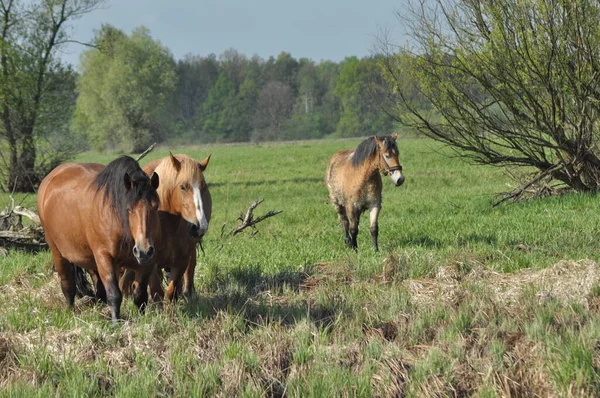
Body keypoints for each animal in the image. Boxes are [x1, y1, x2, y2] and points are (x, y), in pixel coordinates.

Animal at [37, 156, 159, 324]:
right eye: (129, 209)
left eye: (155, 207)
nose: (143, 250)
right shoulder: (104, 258)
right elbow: (114, 294)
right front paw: (115, 323)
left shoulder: (146, 264)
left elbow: (140, 295)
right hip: (57, 251)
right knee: (67, 284)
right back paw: (71, 312)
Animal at [119, 154, 211, 300]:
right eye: (182, 186)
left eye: (203, 187)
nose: (199, 227)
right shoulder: (149, 261)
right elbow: (157, 291)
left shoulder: (182, 260)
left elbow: (171, 291)